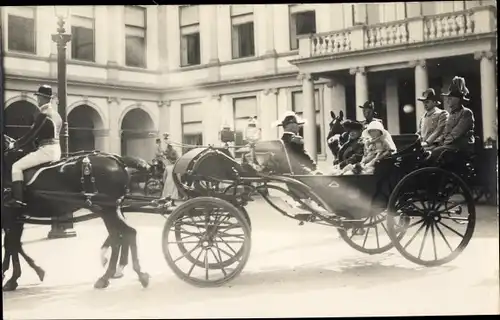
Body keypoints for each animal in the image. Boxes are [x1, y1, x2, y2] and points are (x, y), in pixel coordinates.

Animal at [2, 134, 150, 292]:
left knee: (122, 235)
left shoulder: (10, 218)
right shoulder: (16, 218)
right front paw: (28, 272)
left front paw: (12, 277)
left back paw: (113, 276)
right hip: (109, 209)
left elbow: (11, 245)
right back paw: (121, 273)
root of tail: (117, 159)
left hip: (108, 210)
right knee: (123, 235)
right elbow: (14, 245)